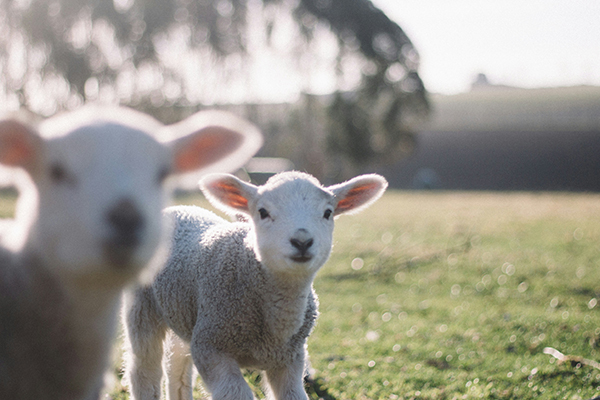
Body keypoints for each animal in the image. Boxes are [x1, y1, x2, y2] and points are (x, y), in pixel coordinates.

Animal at [0, 106, 262, 400]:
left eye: (162, 173)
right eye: (56, 171)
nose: (127, 219)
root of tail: (182, 208)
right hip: (143, 313)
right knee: (145, 370)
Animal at [123, 170, 386, 398]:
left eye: (328, 213)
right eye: (263, 212)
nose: (302, 241)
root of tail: (177, 209)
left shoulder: (290, 359)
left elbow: (293, 395)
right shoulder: (211, 346)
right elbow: (237, 393)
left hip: (184, 312)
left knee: (177, 365)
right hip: (142, 307)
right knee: (144, 369)